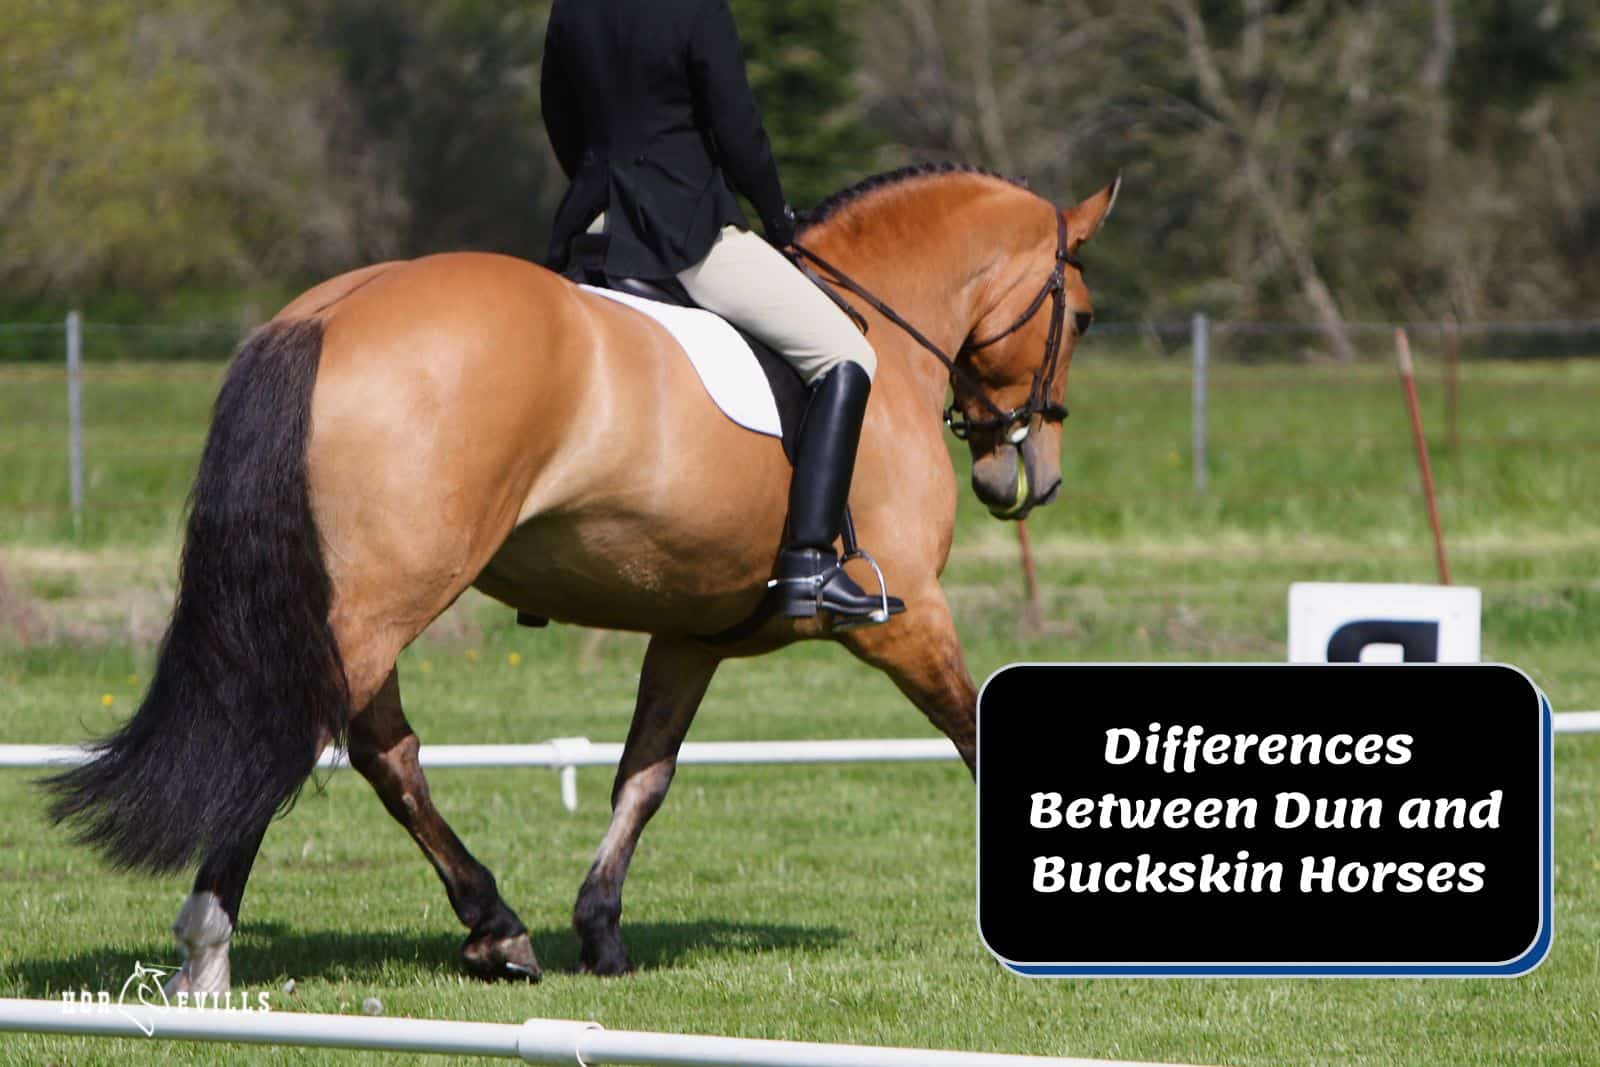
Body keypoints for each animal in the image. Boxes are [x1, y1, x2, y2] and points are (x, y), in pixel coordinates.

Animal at [45, 163, 1118, 993]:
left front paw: (600, 928)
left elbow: (644, 774)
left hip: (360, 601)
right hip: (382, 596)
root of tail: (324, 313)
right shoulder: (904, 616)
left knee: (384, 750)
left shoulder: (691, 633)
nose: (1026, 475)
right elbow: (974, 734)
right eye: (1083, 317)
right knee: (299, 735)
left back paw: (496, 928)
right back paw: (210, 945)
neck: (880, 339)